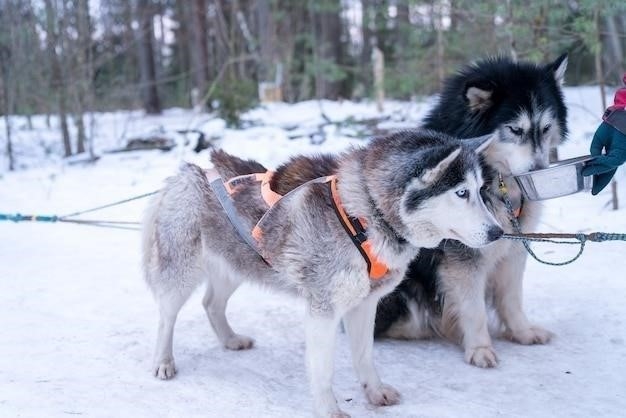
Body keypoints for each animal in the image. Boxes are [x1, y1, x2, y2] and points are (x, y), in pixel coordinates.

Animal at [143, 129, 502, 416]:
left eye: (481, 190)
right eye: (461, 192)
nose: (498, 232)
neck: (366, 214)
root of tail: (188, 171)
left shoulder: (364, 305)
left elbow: (364, 356)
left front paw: (374, 391)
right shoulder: (323, 311)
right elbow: (323, 370)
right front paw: (329, 410)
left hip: (237, 266)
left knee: (211, 304)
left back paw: (230, 339)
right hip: (182, 273)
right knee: (165, 317)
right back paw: (162, 362)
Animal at [372, 54, 568, 368]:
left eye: (546, 128)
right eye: (515, 130)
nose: (539, 170)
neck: (493, 182)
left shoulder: (514, 249)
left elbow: (511, 297)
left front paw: (521, 332)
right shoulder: (462, 258)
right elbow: (473, 308)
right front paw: (479, 348)